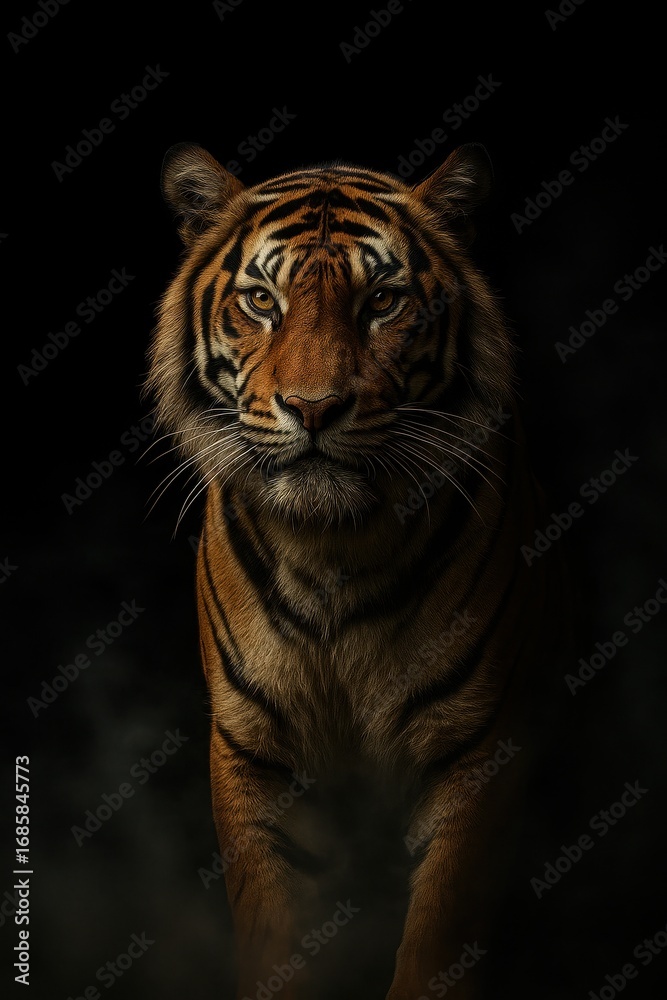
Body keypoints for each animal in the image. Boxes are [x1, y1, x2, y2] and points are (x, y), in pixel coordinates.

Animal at [147, 140, 564, 1000]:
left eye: (383, 302)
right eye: (262, 301)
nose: (313, 407)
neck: (332, 550)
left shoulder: (476, 746)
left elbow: (437, 943)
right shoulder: (254, 751)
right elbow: (274, 934)